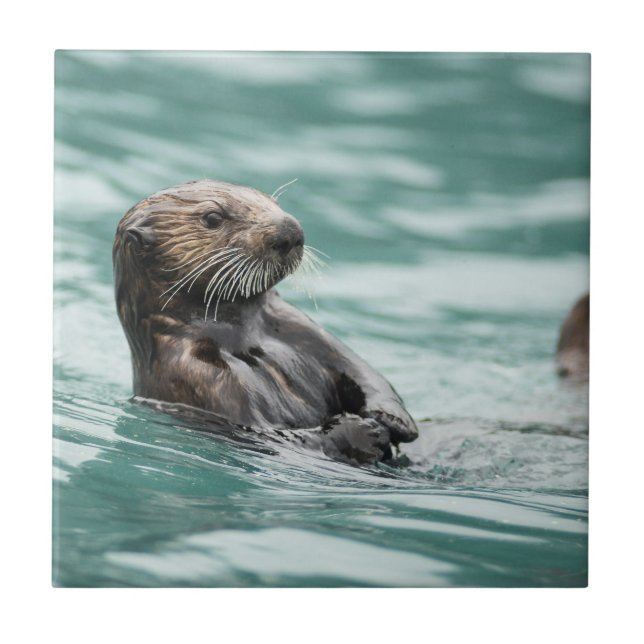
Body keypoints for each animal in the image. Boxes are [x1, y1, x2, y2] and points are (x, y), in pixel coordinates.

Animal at [113, 180, 418, 464]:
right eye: (212, 217)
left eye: (272, 201)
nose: (290, 230)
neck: (244, 338)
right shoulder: (197, 375)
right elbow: (271, 435)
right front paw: (363, 432)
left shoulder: (299, 326)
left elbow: (361, 370)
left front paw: (393, 418)